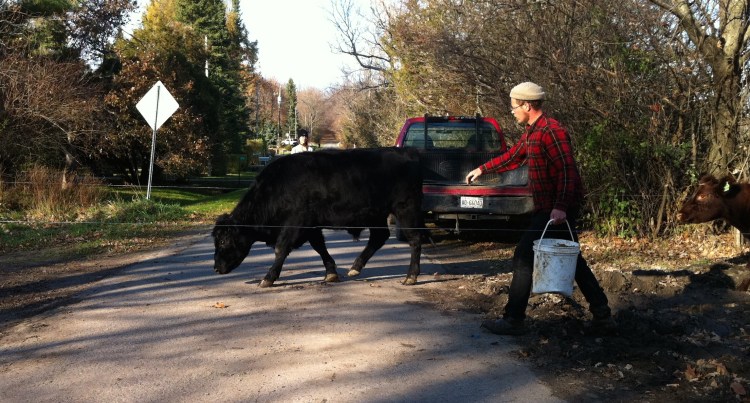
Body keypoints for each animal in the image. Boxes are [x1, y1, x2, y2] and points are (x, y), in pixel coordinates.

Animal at [212, 147, 425, 287]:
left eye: (223, 241)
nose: (215, 267)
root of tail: (408, 153)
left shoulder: (296, 223)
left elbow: (281, 249)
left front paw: (268, 278)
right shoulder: (310, 226)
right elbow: (320, 247)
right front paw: (331, 273)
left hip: (405, 209)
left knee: (415, 239)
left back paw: (411, 277)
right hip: (376, 214)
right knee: (379, 237)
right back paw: (355, 267)